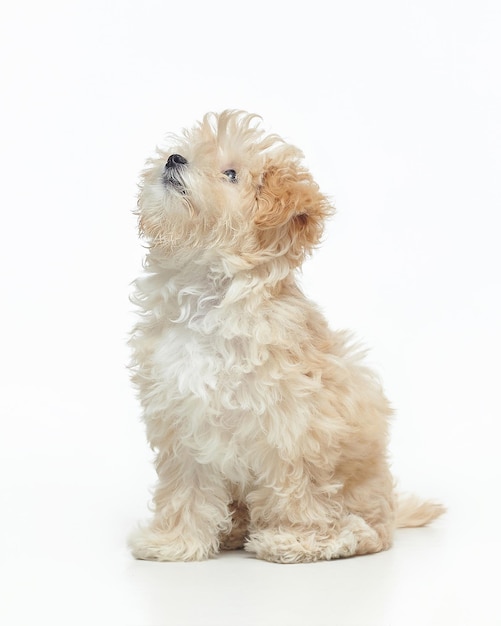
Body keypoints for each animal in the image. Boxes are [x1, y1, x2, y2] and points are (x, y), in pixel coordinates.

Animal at [128, 109, 442, 564]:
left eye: (230, 174)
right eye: (185, 149)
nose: (173, 159)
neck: (207, 298)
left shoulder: (294, 422)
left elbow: (298, 485)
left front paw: (295, 540)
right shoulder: (181, 418)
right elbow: (185, 487)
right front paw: (174, 542)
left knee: (374, 529)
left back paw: (346, 535)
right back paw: (232, 530)